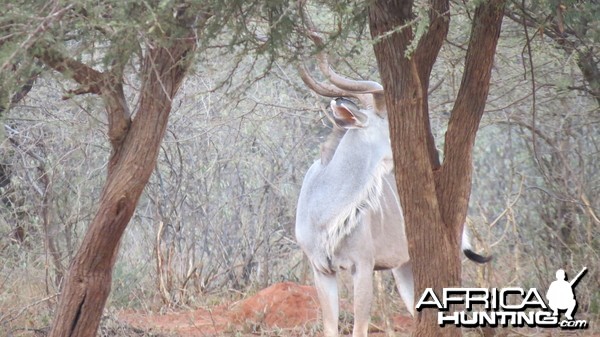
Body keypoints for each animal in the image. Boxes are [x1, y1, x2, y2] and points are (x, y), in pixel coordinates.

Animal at [292, 52, 490, 336]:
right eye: (392, 123)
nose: (430, 149)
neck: (324, 213)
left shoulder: (362, 266)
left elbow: (359, 328)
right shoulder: (321, 270)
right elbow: (331, 327)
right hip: (404, 269)